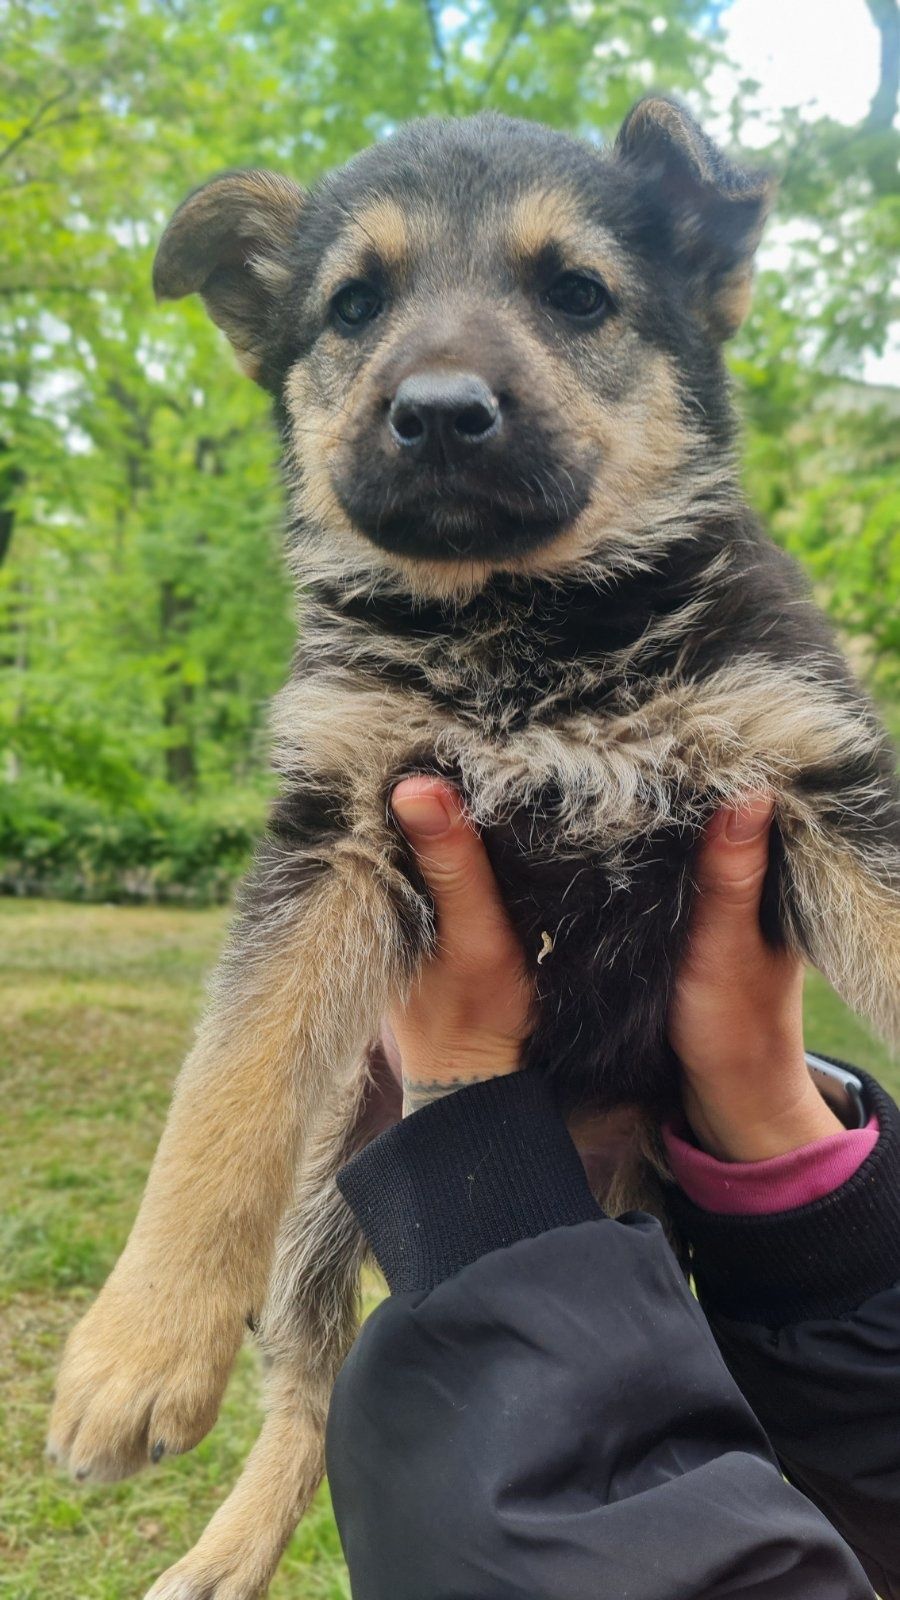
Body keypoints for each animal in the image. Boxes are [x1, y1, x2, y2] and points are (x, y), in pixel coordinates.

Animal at [47, 103, 896, 1600]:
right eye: (354, 307)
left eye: (578, 294)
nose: (439, 411)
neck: (526, 625)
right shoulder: (333, 825)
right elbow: (223, 1095)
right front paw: (137, 1349)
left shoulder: (816, 778)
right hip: (333, 1178)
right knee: (311, 1383)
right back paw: (229, 1547)